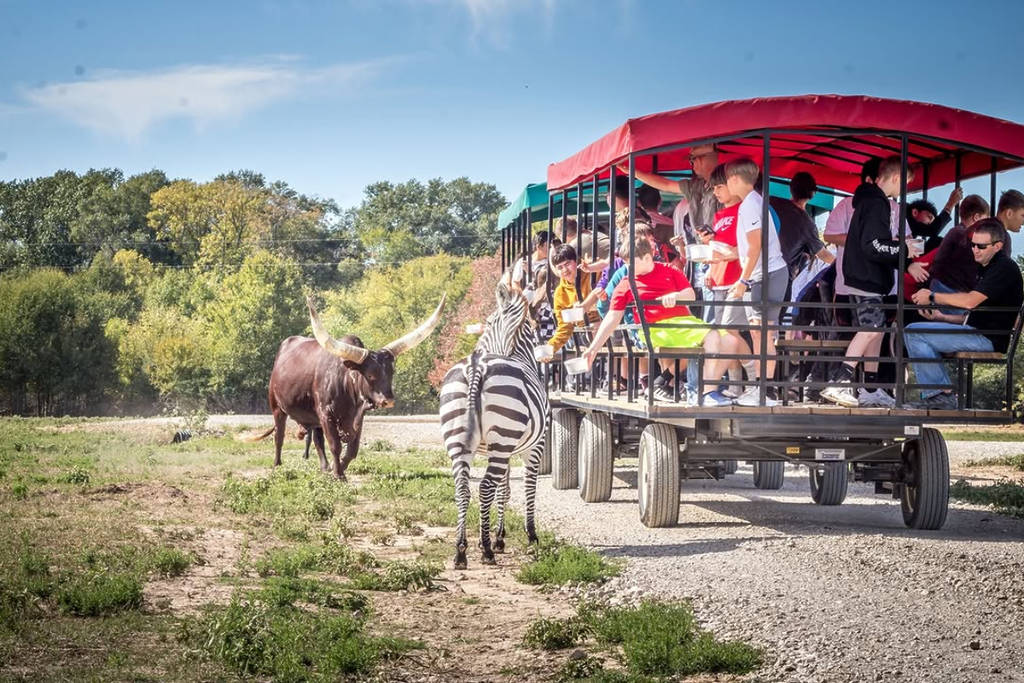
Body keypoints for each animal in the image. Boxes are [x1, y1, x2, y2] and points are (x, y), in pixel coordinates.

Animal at [439, 281, 549, 569]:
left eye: (488, 322)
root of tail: (476, 365)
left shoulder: (503, 450)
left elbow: (505, 490)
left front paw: (497, 536)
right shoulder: (535, 447)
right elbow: (528, 487)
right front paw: (529, 534)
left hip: (461, 440)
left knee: (463, 488)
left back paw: (461, 550)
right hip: (503, 439)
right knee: (485, 486)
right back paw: (486, 551)